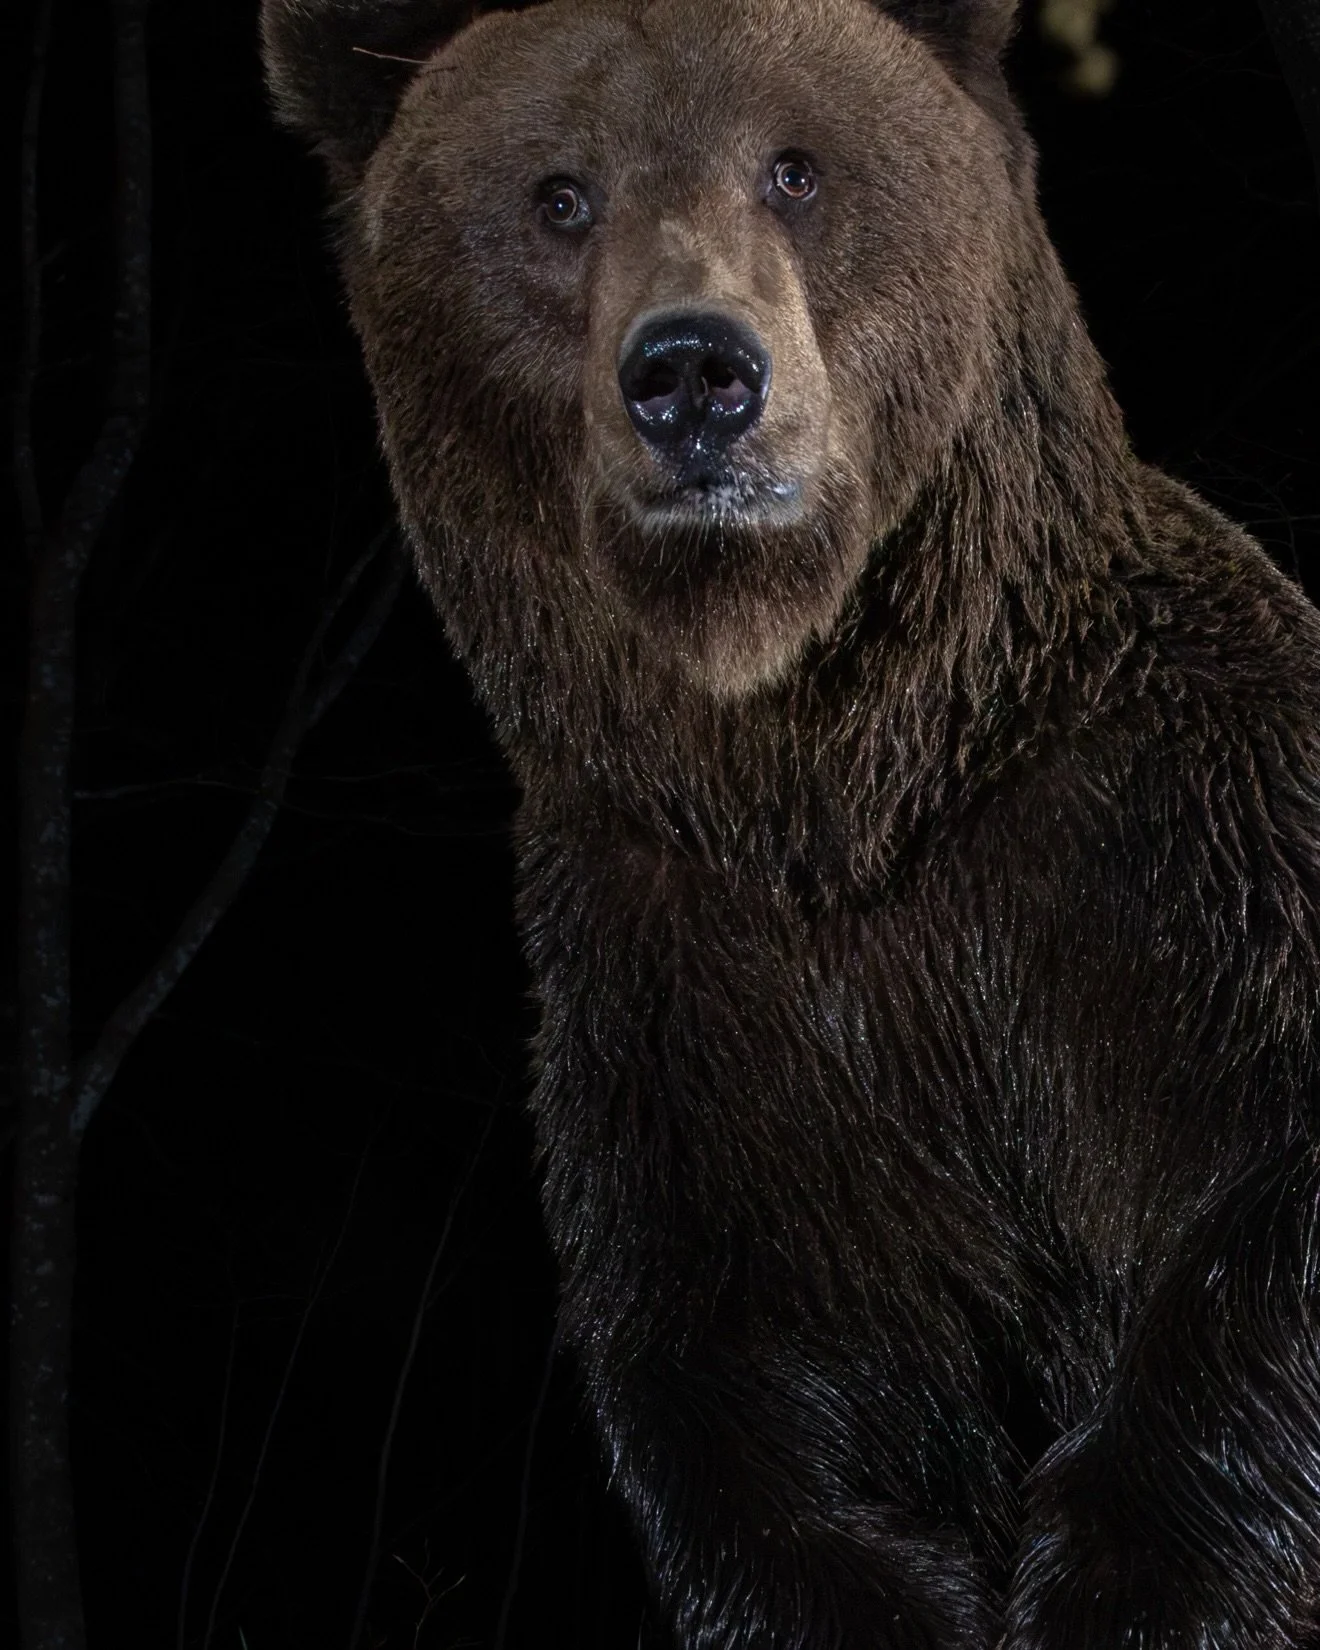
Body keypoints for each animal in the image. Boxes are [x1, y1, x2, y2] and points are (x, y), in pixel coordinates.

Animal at [260, 2, 1320, 1645]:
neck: (842, 784)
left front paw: (1122, 1582)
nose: (695, 370)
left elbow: (1256, 1223)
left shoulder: (1179, 852)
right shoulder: (690, 1006)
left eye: (796, 165)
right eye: (559, 196)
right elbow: (765, 1392)